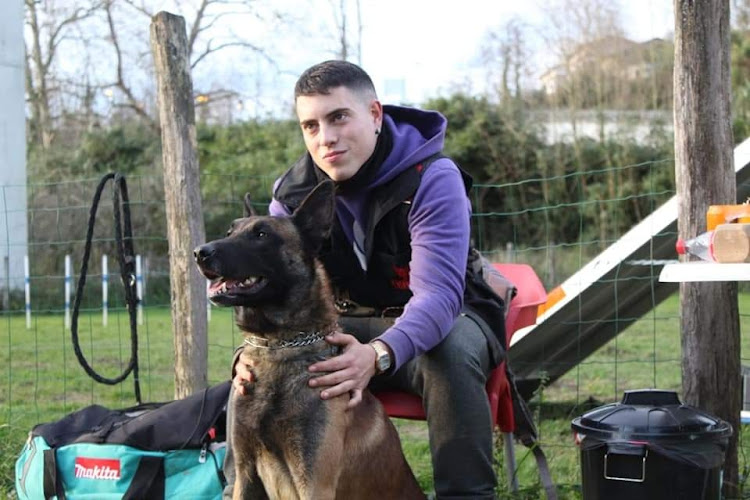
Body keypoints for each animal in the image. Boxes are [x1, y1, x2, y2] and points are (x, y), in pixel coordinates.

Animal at [195, 181, 428, 500]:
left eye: (261, 235)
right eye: (230, 232)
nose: (199, 252)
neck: (277, 346)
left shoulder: (315, 483)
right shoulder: (245, 475)